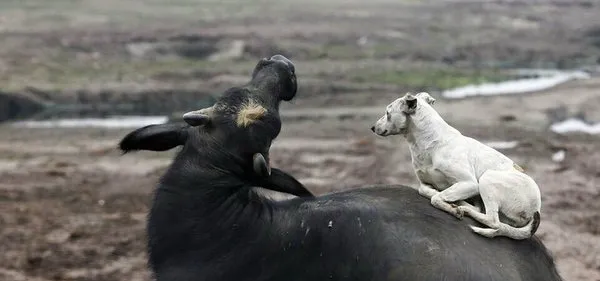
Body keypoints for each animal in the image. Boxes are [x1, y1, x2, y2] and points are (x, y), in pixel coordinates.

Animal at [118, 54, 564, 280]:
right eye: (230, 97)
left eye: (268, 119)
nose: (280, 66)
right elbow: (431, 191)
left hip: (491, 185)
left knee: (494, 218)